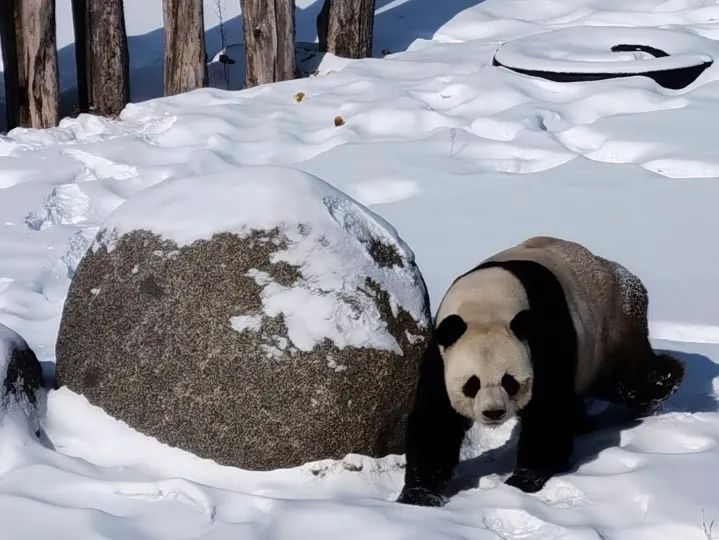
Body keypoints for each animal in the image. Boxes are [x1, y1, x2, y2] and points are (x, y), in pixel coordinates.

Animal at [400, 236, 688, 506]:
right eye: (472, 384)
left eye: (509, 381)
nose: (494, 413)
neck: (485, 303)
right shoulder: (442, 352)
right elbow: (436, 418)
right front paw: (419, 495)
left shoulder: (544, 335)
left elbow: (548, 408)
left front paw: (523, 480)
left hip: (610, 327)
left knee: (629, 379)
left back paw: (668, 378)